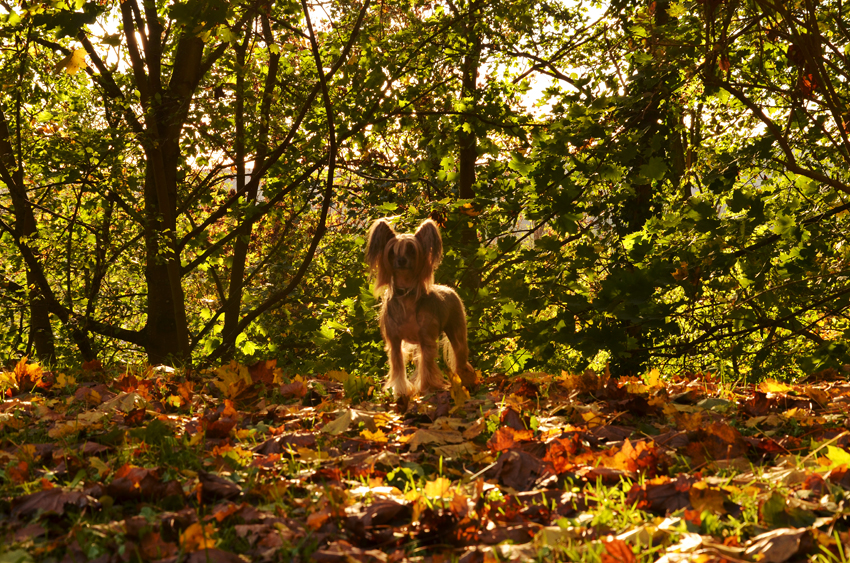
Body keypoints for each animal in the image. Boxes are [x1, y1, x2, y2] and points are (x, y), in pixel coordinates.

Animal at [362, 217, 474, 396]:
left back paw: (466, 381)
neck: (407, 293)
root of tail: (449, 288)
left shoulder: (426, 339)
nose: (401, 260)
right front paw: (400, 390)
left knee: (460, 355)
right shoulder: (395, 341)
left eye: (412, 250)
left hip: (457, 330)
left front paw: (427, 388)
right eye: (392, 251)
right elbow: (398, 366)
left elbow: (427, 364)